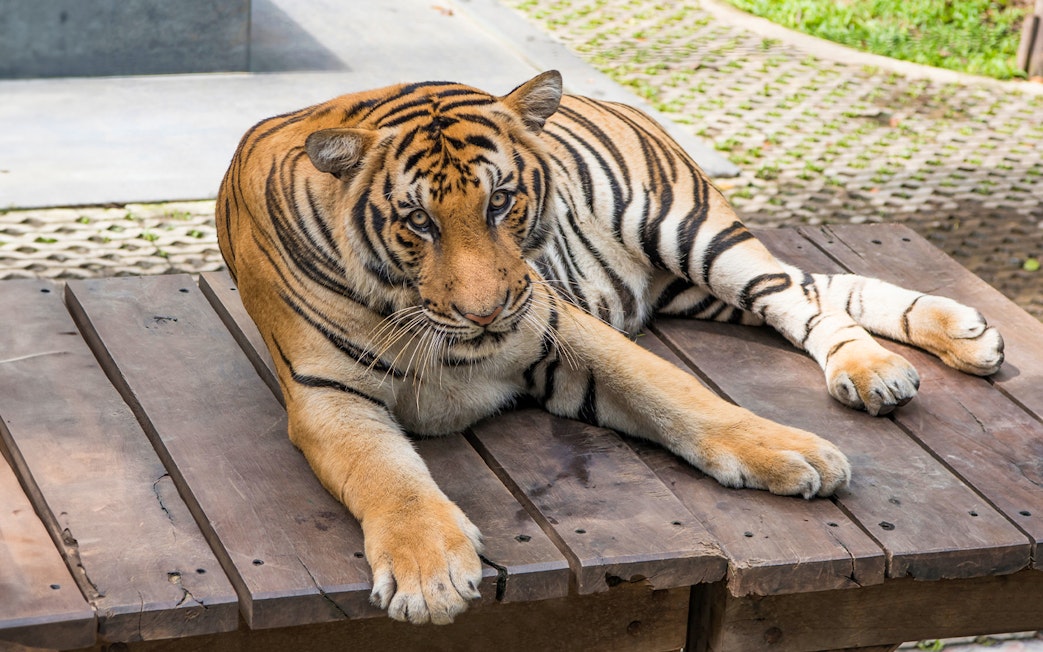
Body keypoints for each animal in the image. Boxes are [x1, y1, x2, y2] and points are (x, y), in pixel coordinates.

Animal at [215, 70, 1004, 625]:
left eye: (501, 201)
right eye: (418, 221)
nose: (486, 312)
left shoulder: (556, 325)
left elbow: (676, 393)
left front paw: (790, 451)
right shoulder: (327, 397)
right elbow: (389, 478)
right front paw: (429, 575)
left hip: (696, 237)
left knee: (797, 295)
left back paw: (890, 366)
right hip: (693, 287)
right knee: (816, 291)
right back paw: (952, 338)